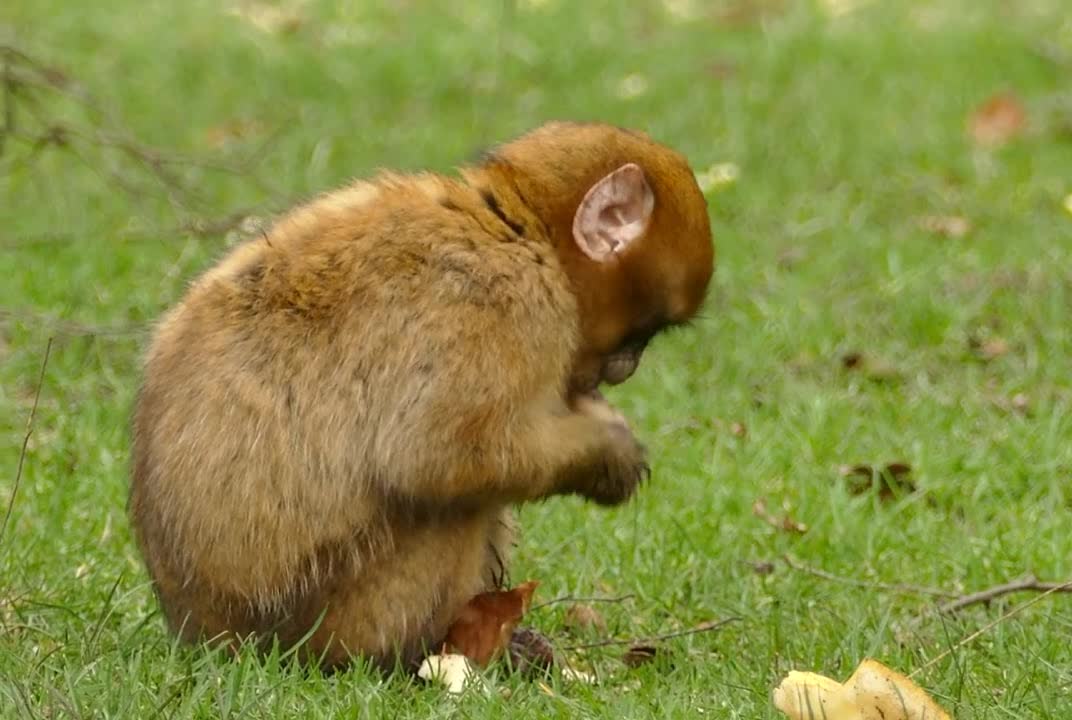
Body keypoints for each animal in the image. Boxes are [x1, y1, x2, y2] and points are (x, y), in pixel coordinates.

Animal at [127, 122, 711, 668]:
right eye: (645, 332)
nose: (626, 368)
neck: (517, 230)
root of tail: (205, 633)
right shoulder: (502, 303)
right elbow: (435, 458)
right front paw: (608, 453)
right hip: (338, 618)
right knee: (452, 505)